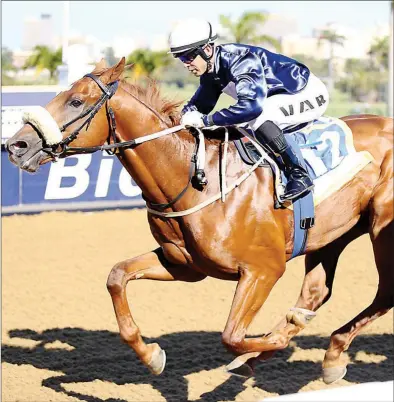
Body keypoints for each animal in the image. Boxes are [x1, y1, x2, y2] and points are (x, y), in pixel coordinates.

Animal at [4, 57, 392, 384]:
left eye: (76, 101)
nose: (16, 145)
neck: (193, 180)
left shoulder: (264, 269)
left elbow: (232, 335)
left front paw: (274, 342)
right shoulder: (185, 265)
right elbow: (117, 277)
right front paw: (152, 356)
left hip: (380, 229)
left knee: (383, 292)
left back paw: (321, 350)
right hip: (332, 234)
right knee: (316, 292)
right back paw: (320, 351)